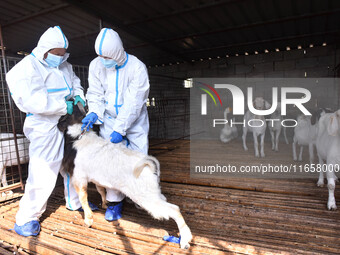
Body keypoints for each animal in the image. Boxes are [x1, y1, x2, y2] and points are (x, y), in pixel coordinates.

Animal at [57, 102, 193, 248]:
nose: (76, 101)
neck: (79, 136)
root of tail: (147, 164)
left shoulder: (79, 177)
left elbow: (83, 198)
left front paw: (88, 220)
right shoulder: (96, 178)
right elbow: (100, 189)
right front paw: (105, 204)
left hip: (146, 197)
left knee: (174, 209)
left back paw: (185, 241)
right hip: (152, 193)